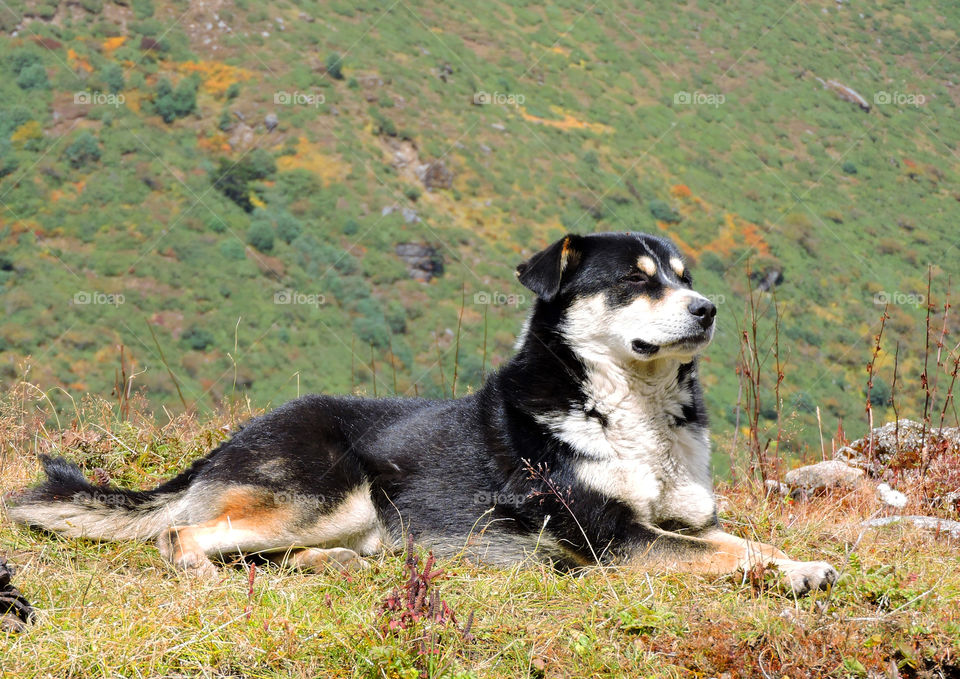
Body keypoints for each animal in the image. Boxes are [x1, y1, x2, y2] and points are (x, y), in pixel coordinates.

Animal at [7, 232, 836, 596]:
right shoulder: (613, 539)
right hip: (333, 489)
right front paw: (791, 573)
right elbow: (725, 555)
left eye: (683, 276)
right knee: (182, 534)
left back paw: (335, 564)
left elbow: (741, 539)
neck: (625, 408)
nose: (707, 309)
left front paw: (801, 561)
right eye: (636, 282)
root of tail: (223, 445)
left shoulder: (684, 518)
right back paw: (213, 569)